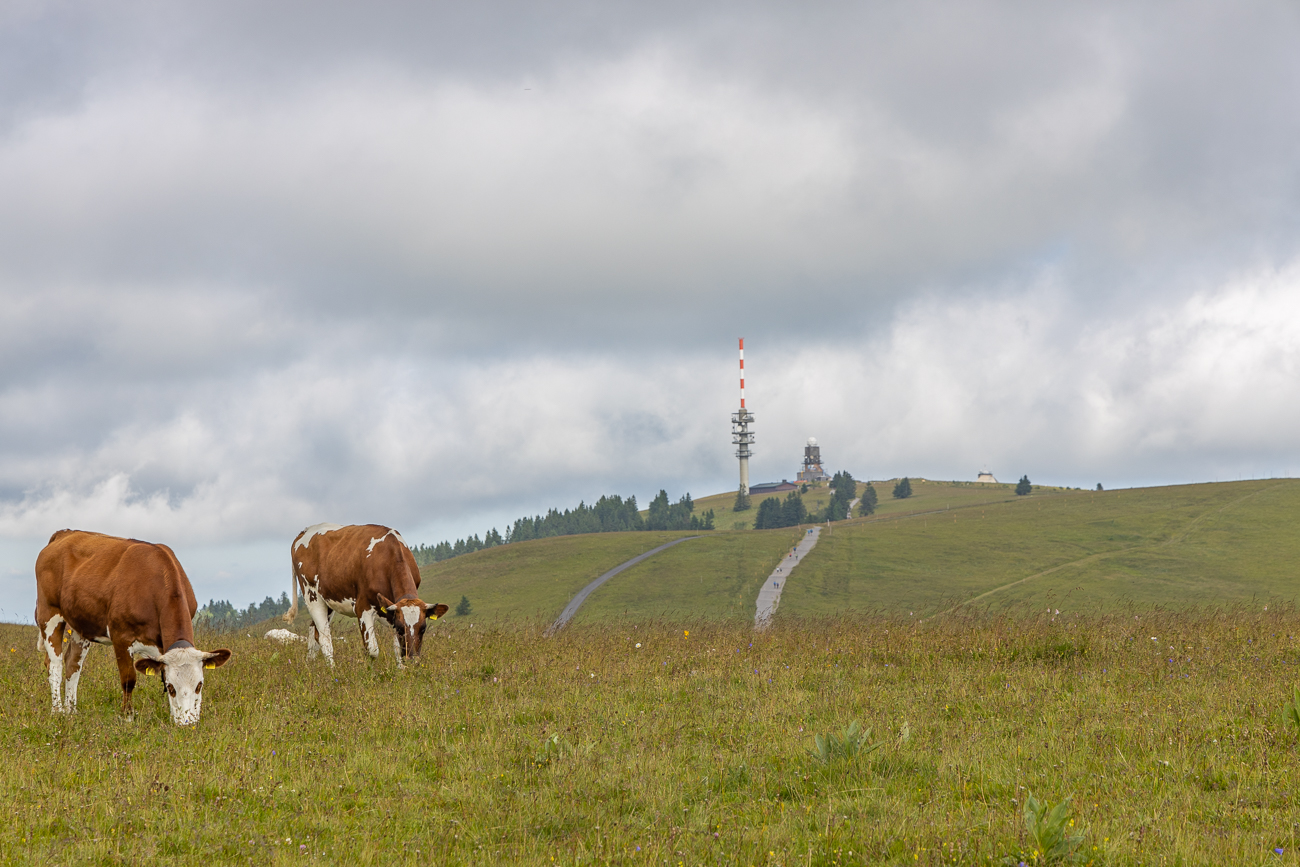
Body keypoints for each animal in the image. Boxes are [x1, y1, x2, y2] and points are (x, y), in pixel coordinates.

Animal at [34, 530, 232, 727]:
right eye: (171, 687)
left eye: (200, 685)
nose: (187, 723)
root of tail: (65, 533)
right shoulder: (121, 637)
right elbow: (129, 680)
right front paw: (128, 716)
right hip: (49, 613)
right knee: (55, 664)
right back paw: (58, 711)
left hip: (80, 624)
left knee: (73, 663)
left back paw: (71, 711)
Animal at [282, 525, 449, 670]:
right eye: (401, 628)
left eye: (423, 628)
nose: (413, 659)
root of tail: (305, 530)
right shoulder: (363, 607)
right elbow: (372, 650)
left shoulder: (393, 612)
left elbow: (397, 649)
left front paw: (402, 672)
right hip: (312, 596)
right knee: (324, 637)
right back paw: (333, 671)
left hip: (327, 601)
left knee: (313, 632)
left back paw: (309, 665)